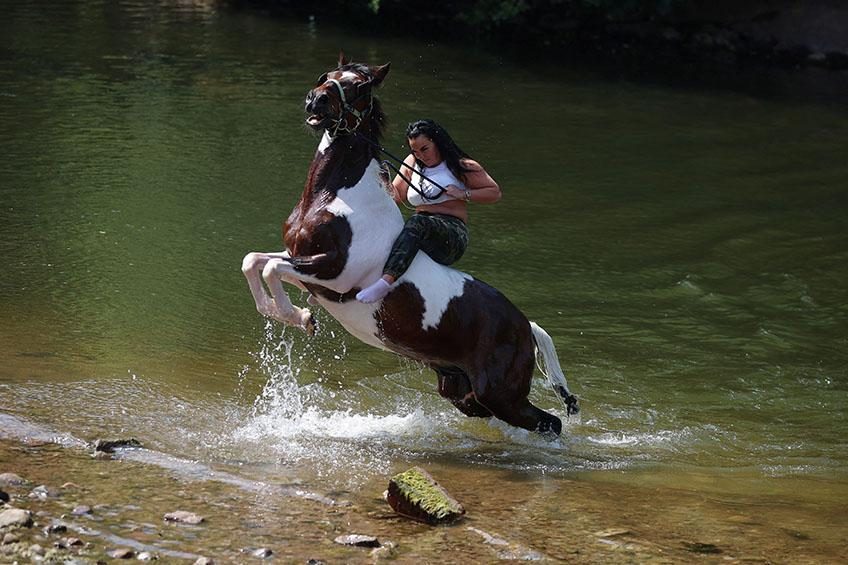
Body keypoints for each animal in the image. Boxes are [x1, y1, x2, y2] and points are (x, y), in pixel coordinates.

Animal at [242, 55, 580, 436]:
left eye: (361, 86)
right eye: (327, 75)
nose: (316, 100)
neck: (336, 197)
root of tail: (526, 327)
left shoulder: (334, 273)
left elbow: (270, 268)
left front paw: (301, 318)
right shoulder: (301, 262)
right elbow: (254, 261)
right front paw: (294, 315)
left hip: (501, 394)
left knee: (551, 423)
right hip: (463, 392)